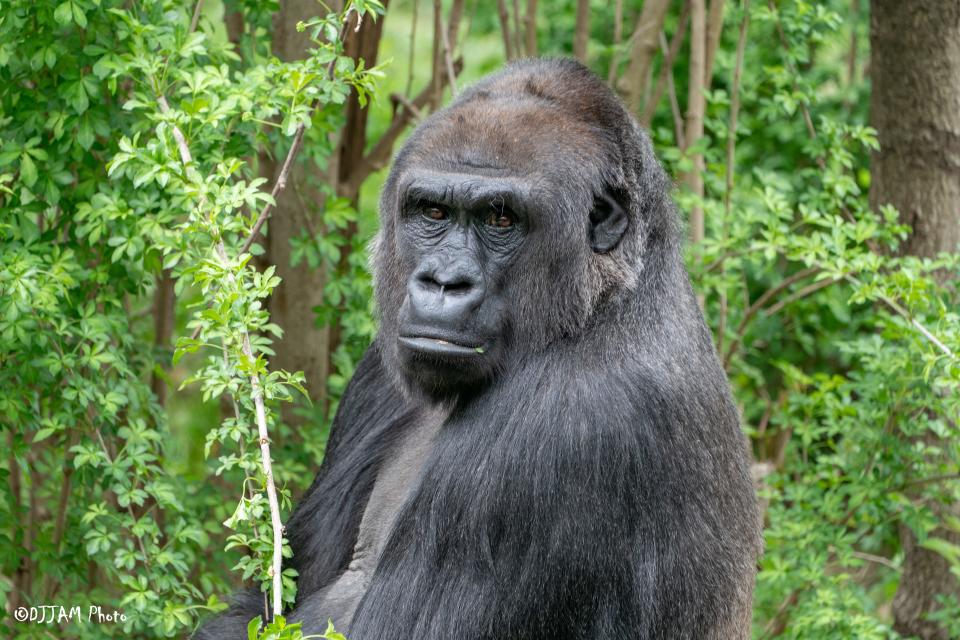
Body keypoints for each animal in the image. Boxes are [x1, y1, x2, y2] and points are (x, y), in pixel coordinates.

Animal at [199, 60, 760, 640]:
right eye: (432, 212)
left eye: (500, 219)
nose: (444, 282)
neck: (601, 303)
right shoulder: (379, 371)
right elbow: (261, 603)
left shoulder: (572, 424)